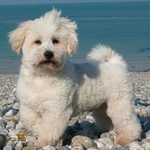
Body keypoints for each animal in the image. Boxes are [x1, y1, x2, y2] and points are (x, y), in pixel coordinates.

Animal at [8, 9, 141, 146]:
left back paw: (126, 138)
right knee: (107, 119)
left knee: (130, 122)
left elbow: (50, 128)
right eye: (37, 41)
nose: (49, 53)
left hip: (120, 103)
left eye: (55, 41)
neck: (42, 76)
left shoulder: (56, 110)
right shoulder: (27, 107)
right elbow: (33, 122)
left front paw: (45, 142)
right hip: (103, 107)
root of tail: (117, 63)